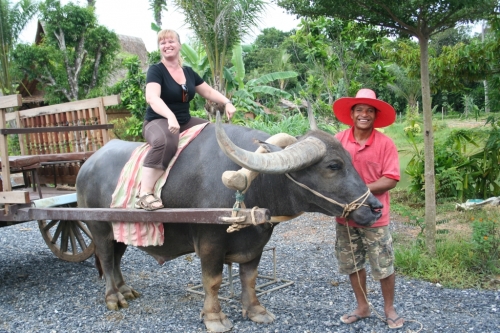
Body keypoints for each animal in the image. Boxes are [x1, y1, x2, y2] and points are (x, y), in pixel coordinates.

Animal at [77, 113, 382, 330]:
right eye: (333, 165)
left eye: (350, 159)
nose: (376, 208)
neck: (252, 186)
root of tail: (87, 165)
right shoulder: (209, 243)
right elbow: (212, 281)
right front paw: (214, 317)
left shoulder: (256, 242)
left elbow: (250, 277)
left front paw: (256, 310)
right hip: (99, 227)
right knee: (106, 258)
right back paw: (113, 298)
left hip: (120, 230)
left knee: (116, 258)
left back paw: (126, 290)